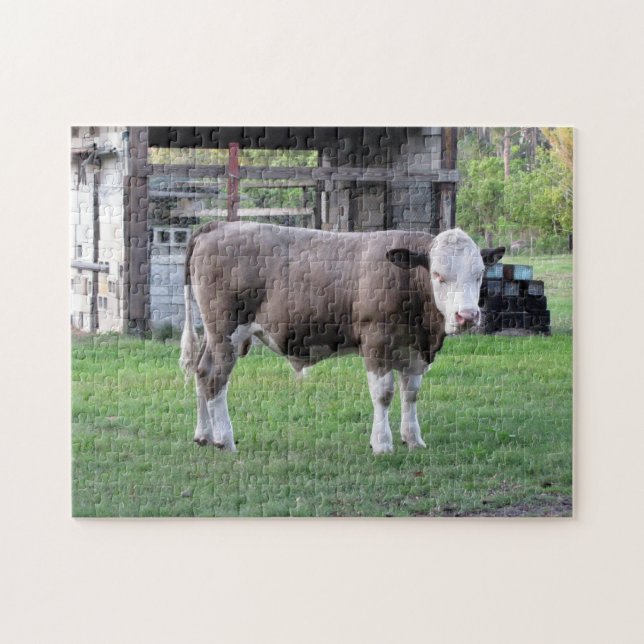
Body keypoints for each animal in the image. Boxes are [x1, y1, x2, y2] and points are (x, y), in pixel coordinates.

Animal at [180, 221, 504, 454]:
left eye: (479, 274)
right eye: (438, 275)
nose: (467, 316)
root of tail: (219, 226)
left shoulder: (414, 351)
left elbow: (410, 393)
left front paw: (413, 439)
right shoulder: (376, 343)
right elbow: (384, 394)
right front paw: (382, 443)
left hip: (212, 334)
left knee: (201, 372)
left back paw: (203, 434)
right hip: (225, 332)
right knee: (216, 380)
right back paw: (224, 439)